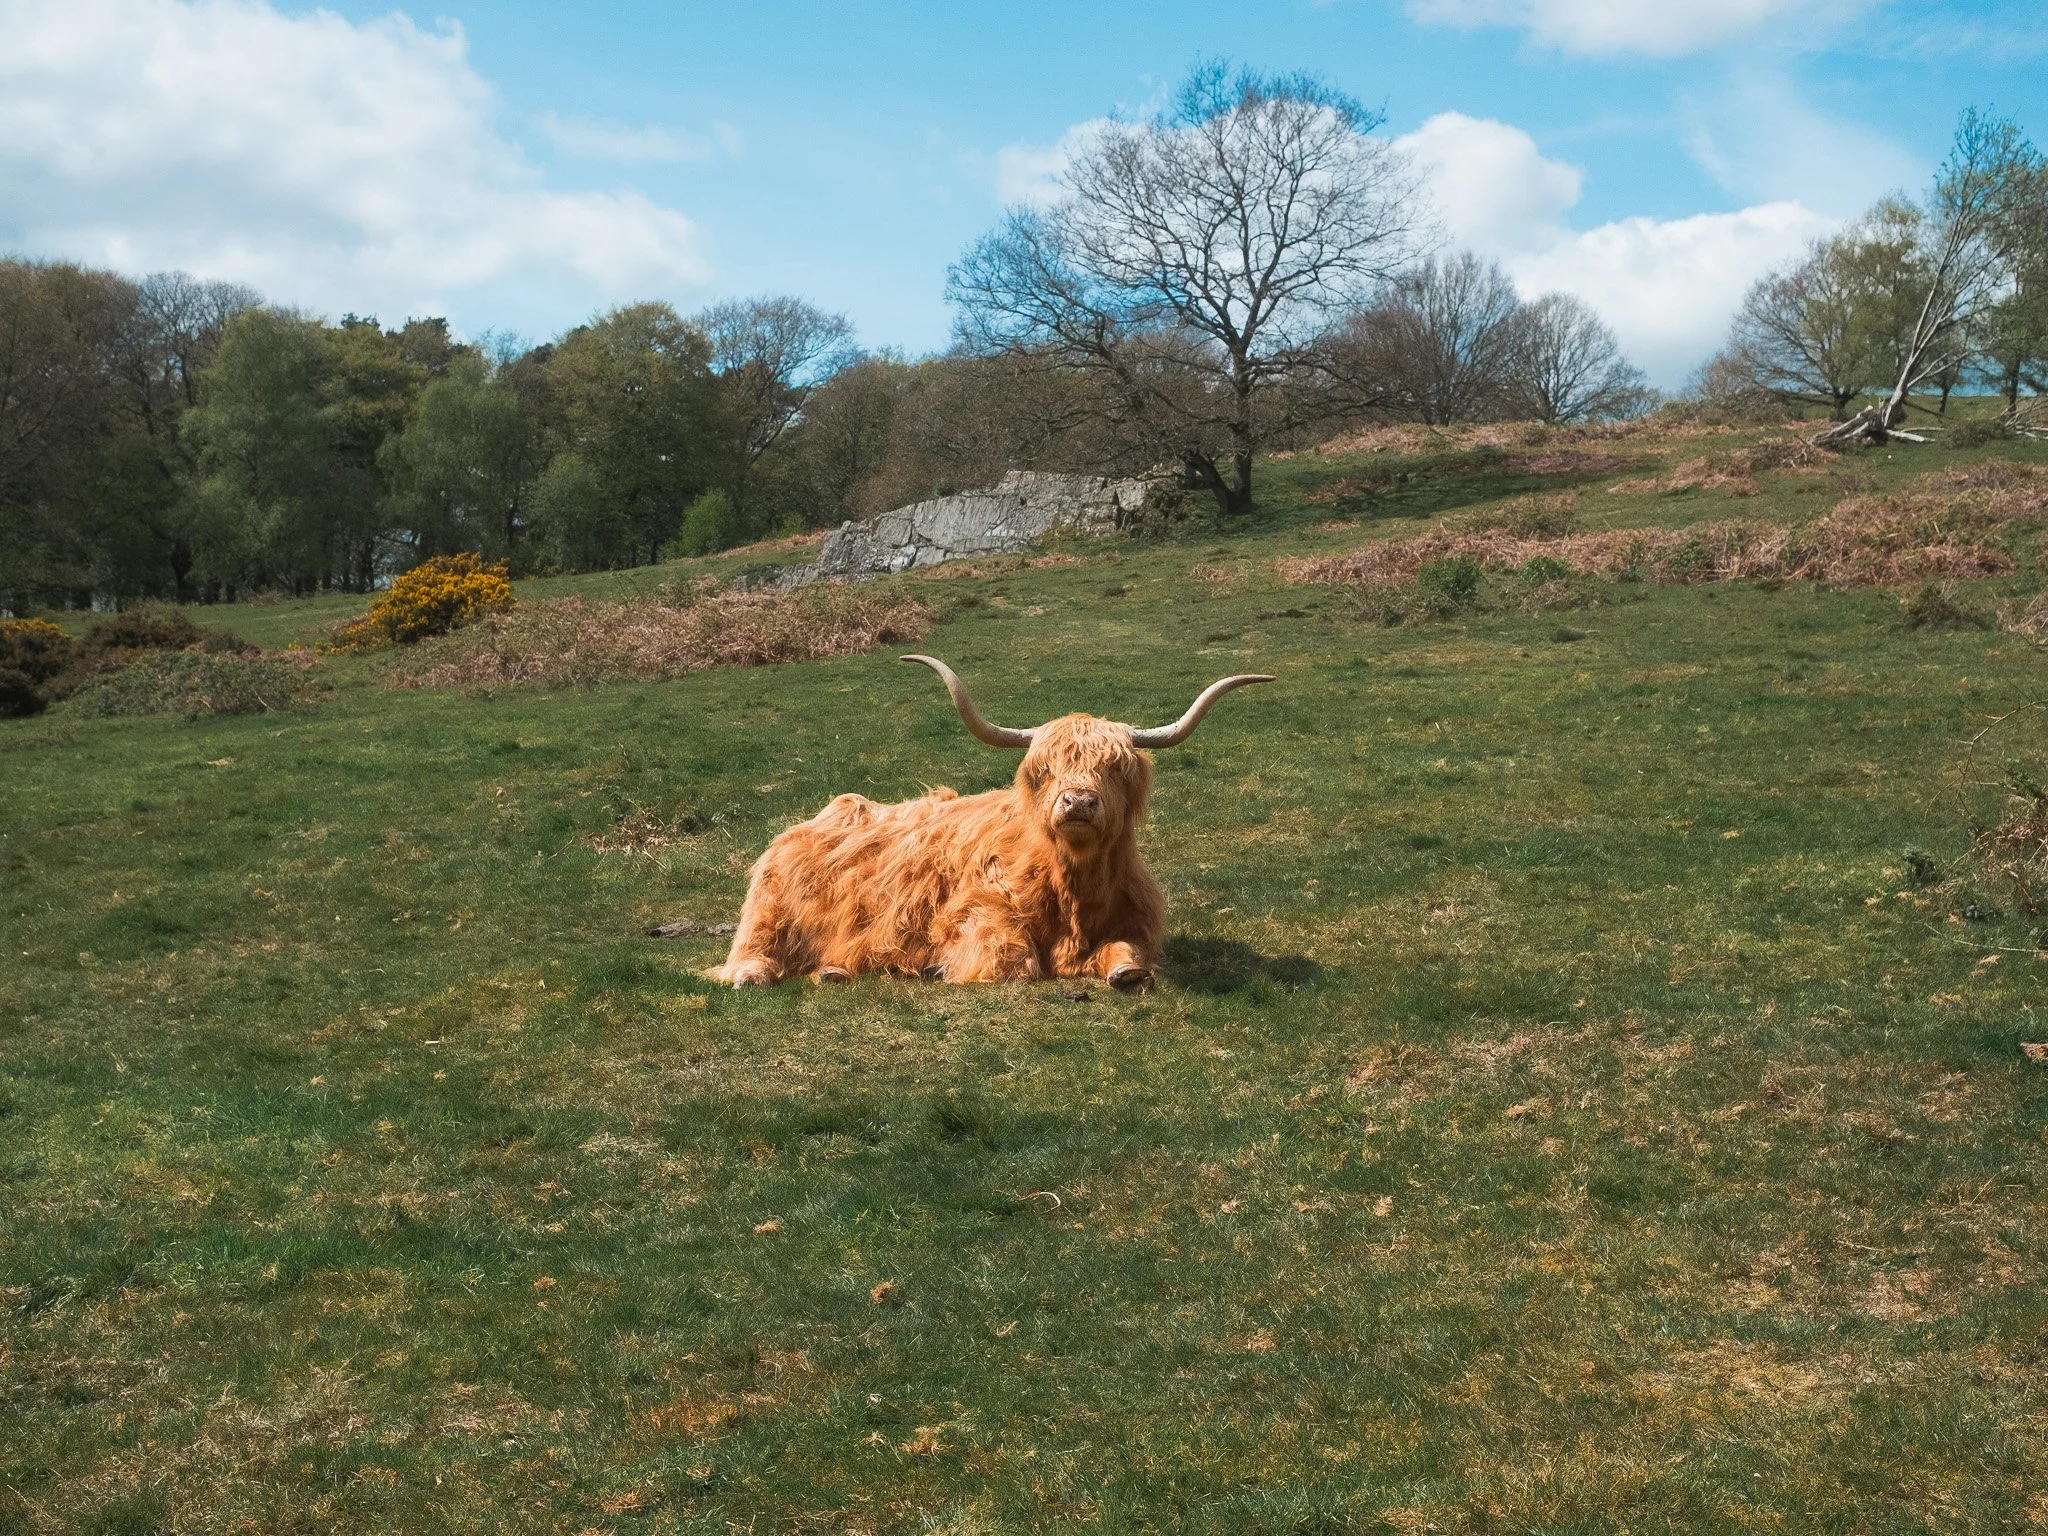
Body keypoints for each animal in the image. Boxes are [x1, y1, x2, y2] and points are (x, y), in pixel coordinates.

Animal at [711, 655, 1273, 989]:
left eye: (1115, 768)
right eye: (1043, 770)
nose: (1077, 802)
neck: (1072, 887)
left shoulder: (1134, 922)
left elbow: (1129, 955)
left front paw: (1125, 972)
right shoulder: (978, 912)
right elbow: (1013, 960)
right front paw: (941, 965)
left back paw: (834, 970)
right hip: (769, 906)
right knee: (753, 949)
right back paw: (753, 975)